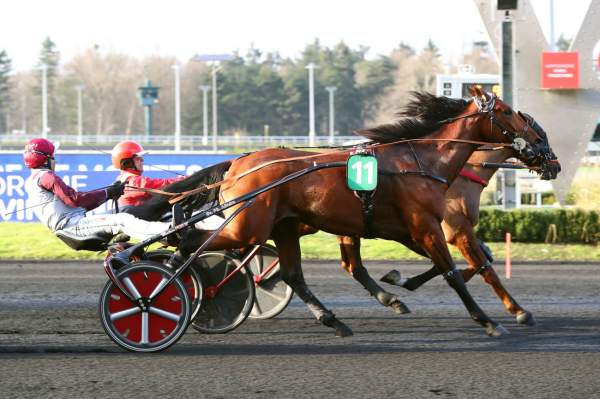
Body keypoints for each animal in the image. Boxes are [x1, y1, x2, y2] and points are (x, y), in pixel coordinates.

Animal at [131, 87, 552, 338]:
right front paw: (493, 320)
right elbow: (457, 271)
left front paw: (399, 286)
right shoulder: (429, 227)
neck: (423, 161)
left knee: (291, 274)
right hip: (249, 225)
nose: (546, 152)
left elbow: (474, 262)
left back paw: (333, 319)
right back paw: (174, 284)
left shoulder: (410, 229)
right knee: (194, 242)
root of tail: (239, 163)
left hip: (283, 226)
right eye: (508, 112)